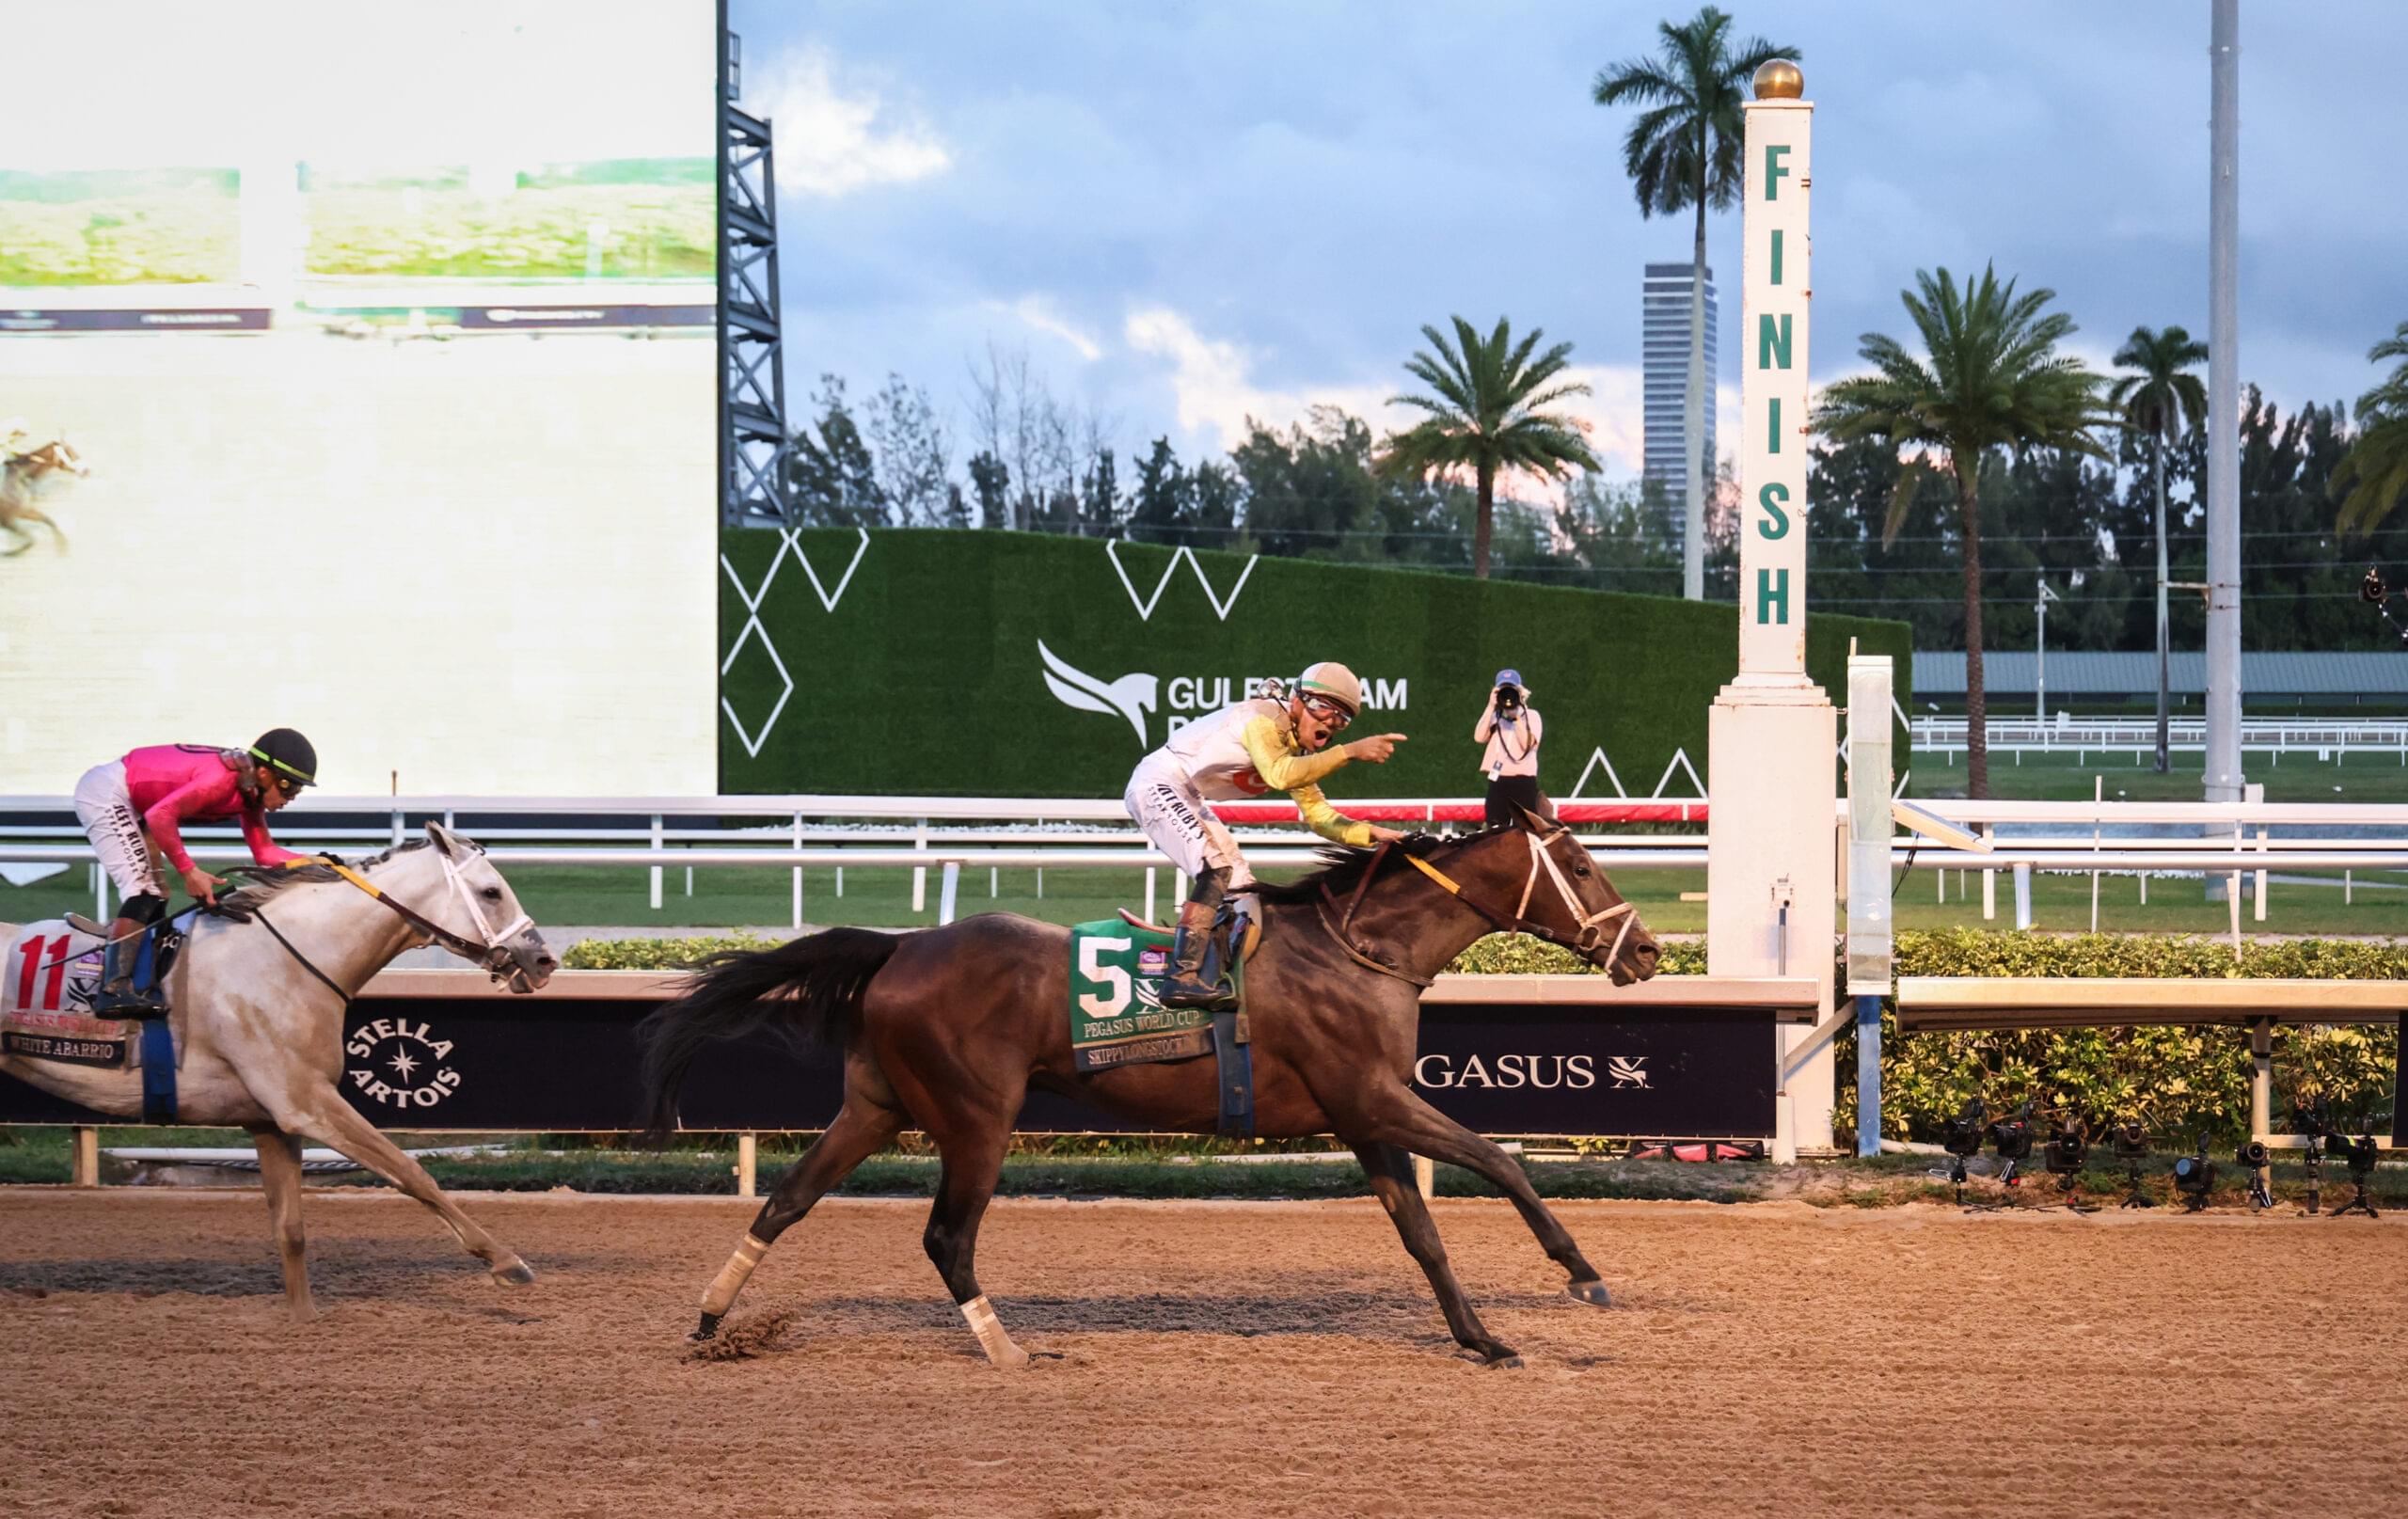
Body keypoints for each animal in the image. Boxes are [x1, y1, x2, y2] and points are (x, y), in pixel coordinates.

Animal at [0, 823, 557, 1319]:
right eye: (491, 891)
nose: (543, 960)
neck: (285, 962)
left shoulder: (270, 1120)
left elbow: (291, 1227)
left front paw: (303, 1316)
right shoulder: (306, 1101)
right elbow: (411, 1171)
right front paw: (507, 1262)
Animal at [641, 808, 1661, 1369]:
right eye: (1580, 866)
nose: (1647, 951)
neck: (1359, 951)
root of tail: (902, 945)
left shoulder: (1363, 1115)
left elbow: (1423, 1235)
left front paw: (1481, 1339)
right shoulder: (1374, 1099)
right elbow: (1501, 1162)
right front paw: (1582, 1273)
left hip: (876, 1103)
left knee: (787, 1200)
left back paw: (711, 1320)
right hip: (977, 1116)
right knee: (946, 1236)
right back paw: (1007, 1349)